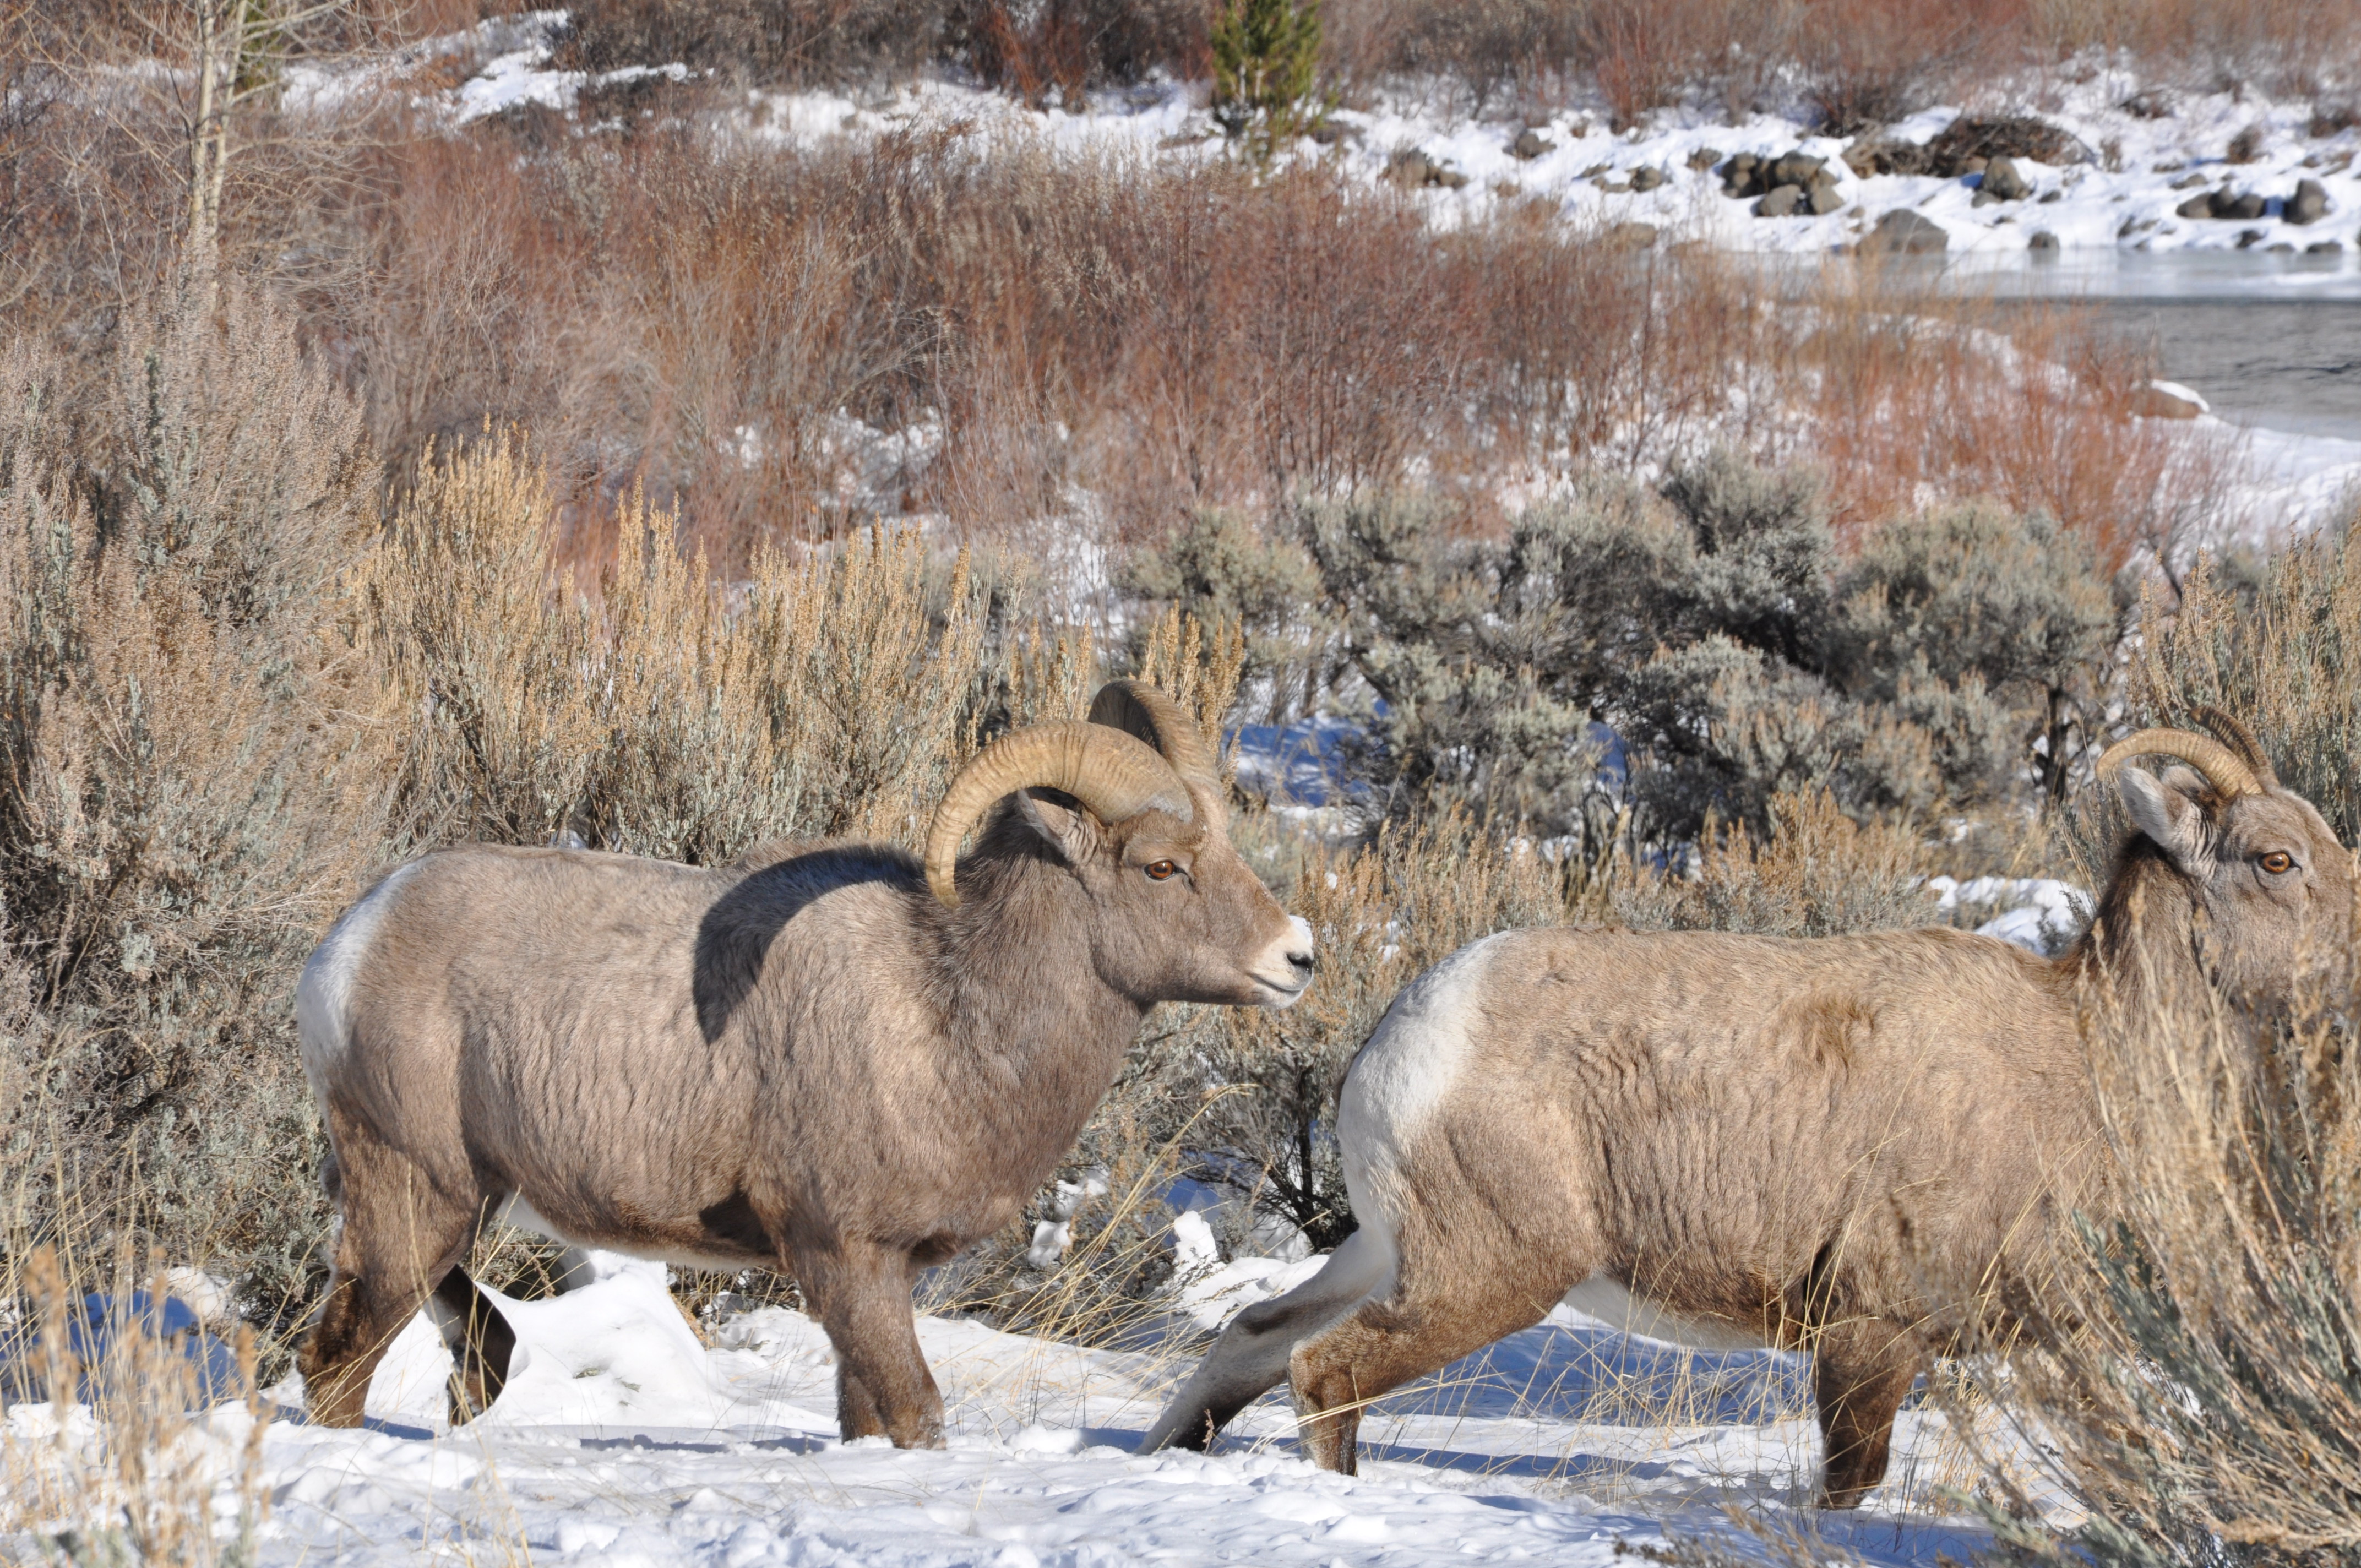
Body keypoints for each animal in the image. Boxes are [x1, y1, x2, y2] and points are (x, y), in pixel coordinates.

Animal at [300, 680, 1313, 1435]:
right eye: (1160, 867)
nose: (1296, 957)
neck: (948, 1015)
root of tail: (346, 949)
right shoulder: (845, 1259)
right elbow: (914, 1414)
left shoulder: (882, 1276)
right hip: (414, 1197)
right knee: (338, 1364)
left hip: (451, 1210)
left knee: (480, 1351)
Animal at [1143, 713, 2342, 1511]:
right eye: (2274, 858)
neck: (2084, 1050)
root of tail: (1403, 1033)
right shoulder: (1868, 1333)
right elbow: (1848, 1483)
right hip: (1486, 1274)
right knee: (1324, 1372)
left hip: (1389, 1253)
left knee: (1254, 1339)